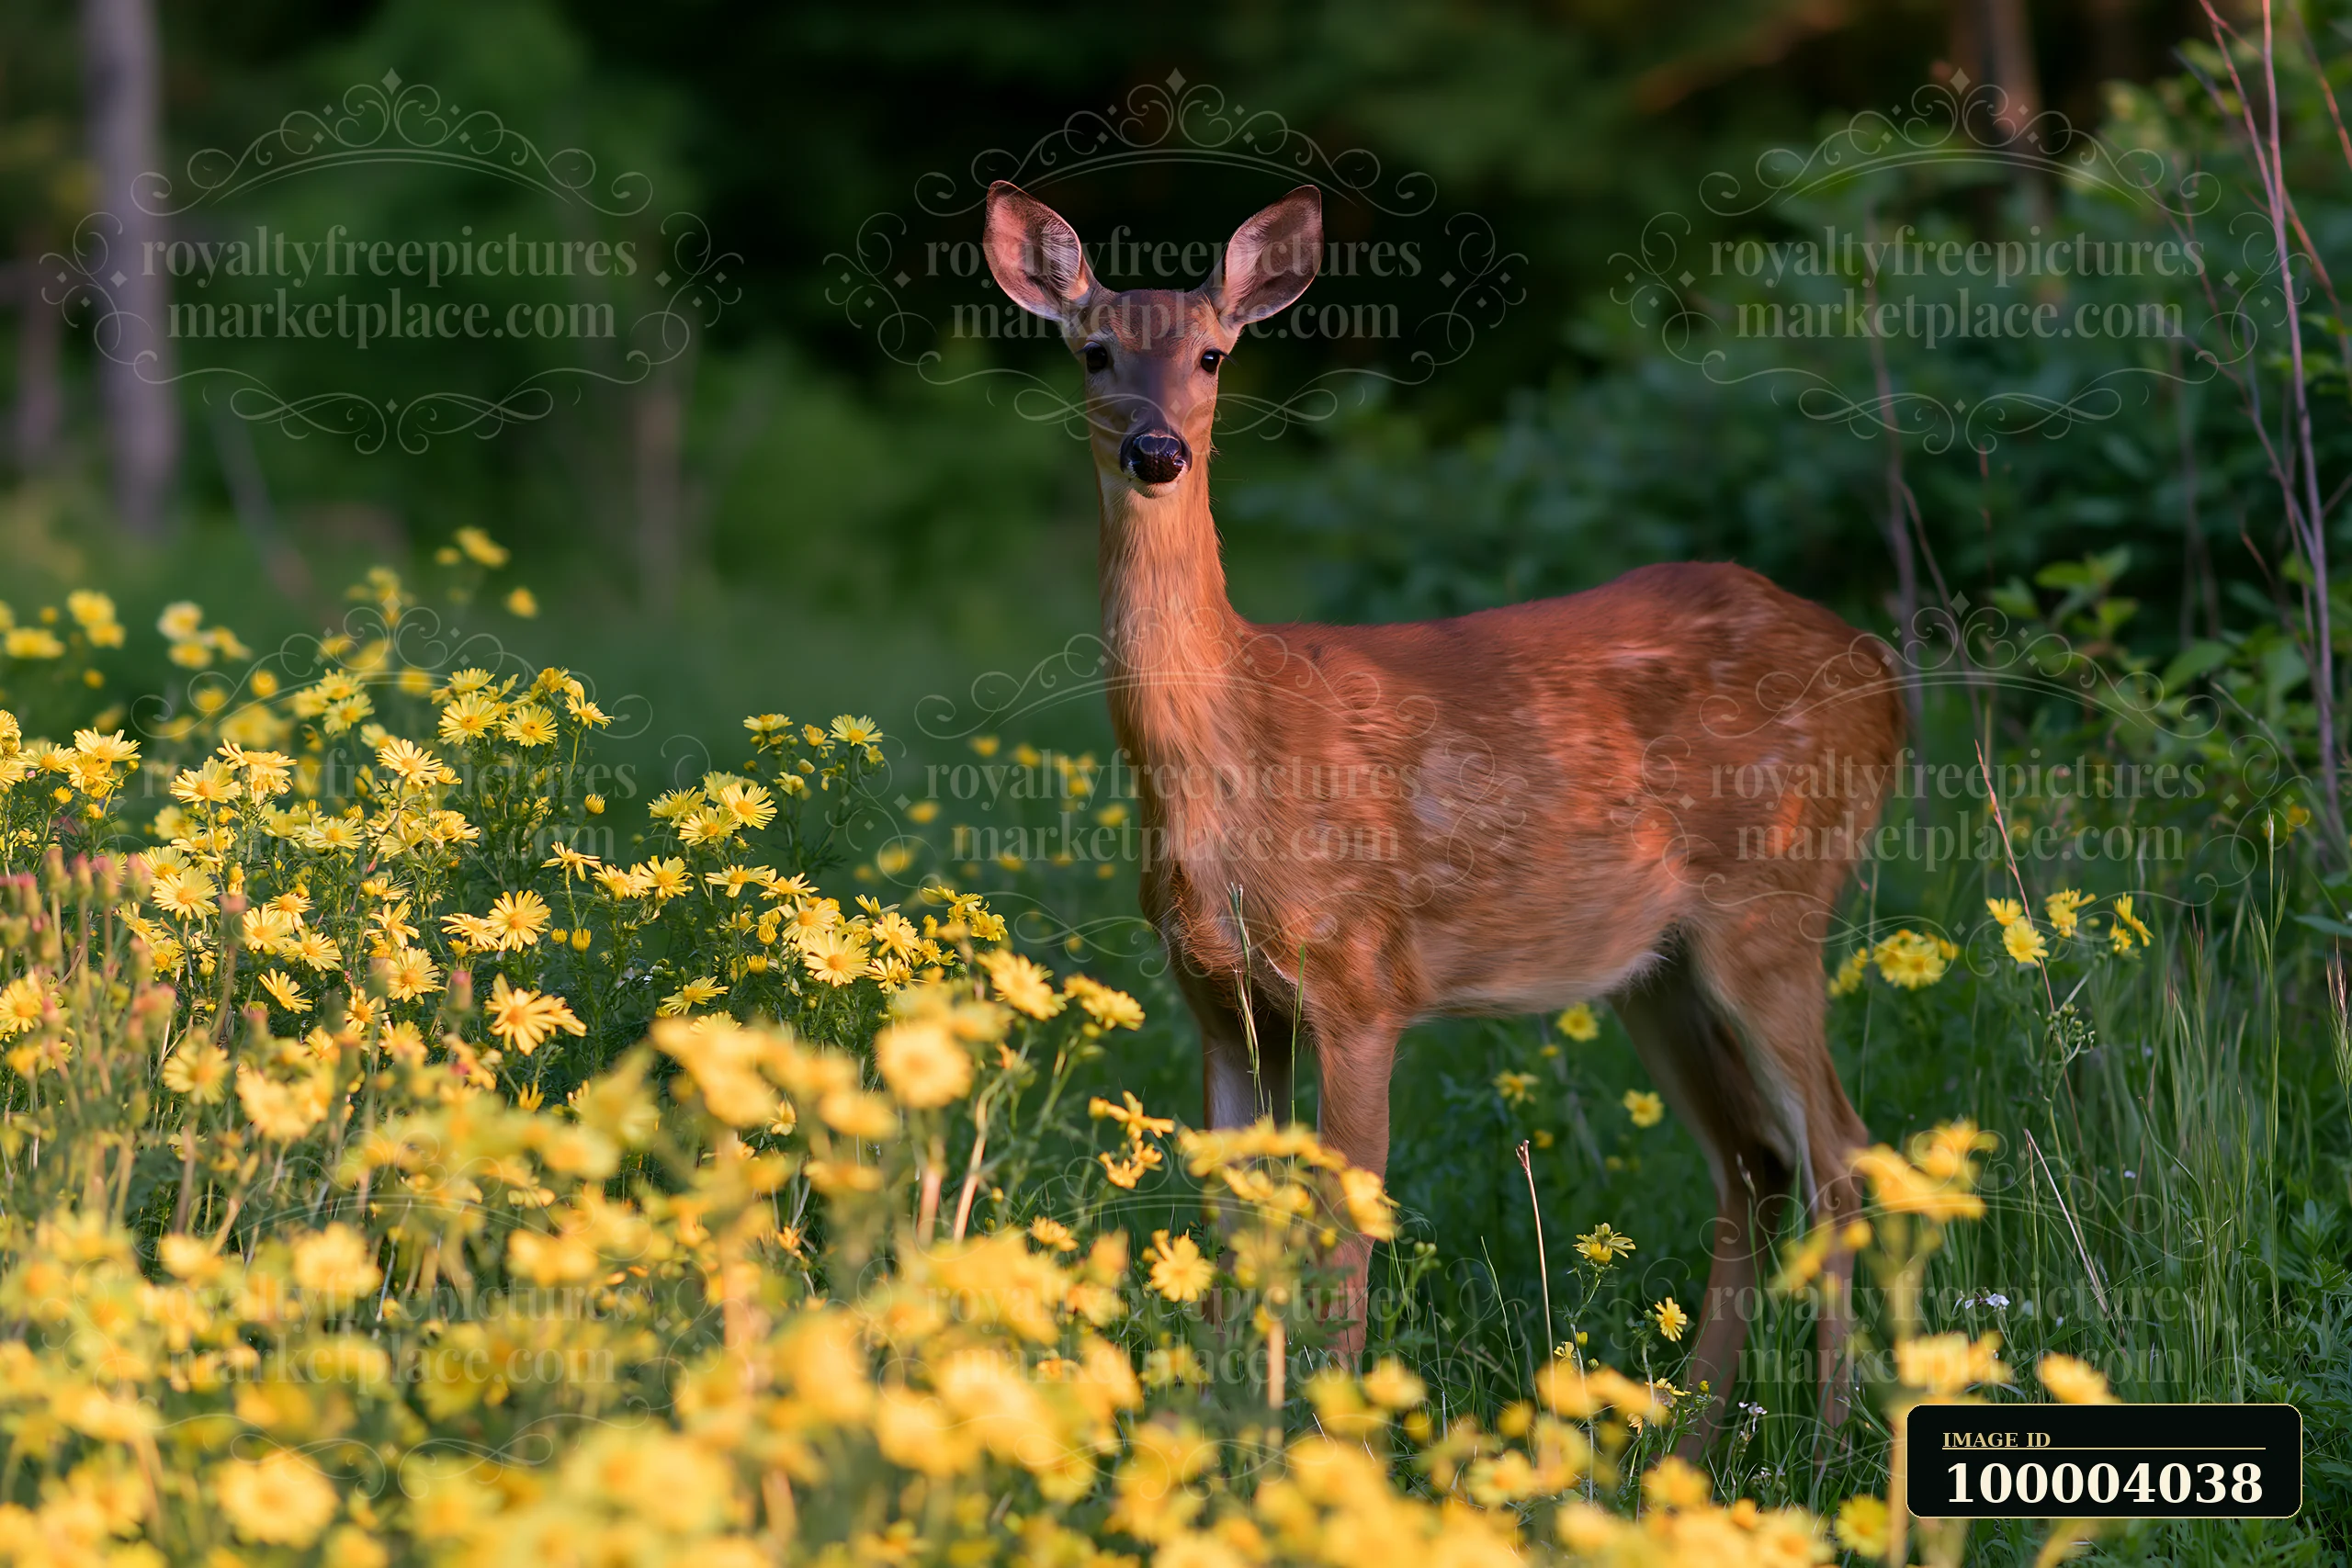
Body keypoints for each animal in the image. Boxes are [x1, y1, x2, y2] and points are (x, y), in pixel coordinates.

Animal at [982, 179, 1906, 1444]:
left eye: (1214, 354)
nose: (1156, 449)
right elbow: (1232, 1216)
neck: (1232, 762)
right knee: (1757, 1162)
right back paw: (1691, 1436)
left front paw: (1323, 1432)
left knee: (1841, 1155)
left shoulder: (1362, 979)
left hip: (1774, 907)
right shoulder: (1215, 996)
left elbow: (1343, 1221)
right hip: (1657, 970)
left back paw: (1825, 1439)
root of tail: (1885, 678)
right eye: (1093, 351)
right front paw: (1215, 1431)